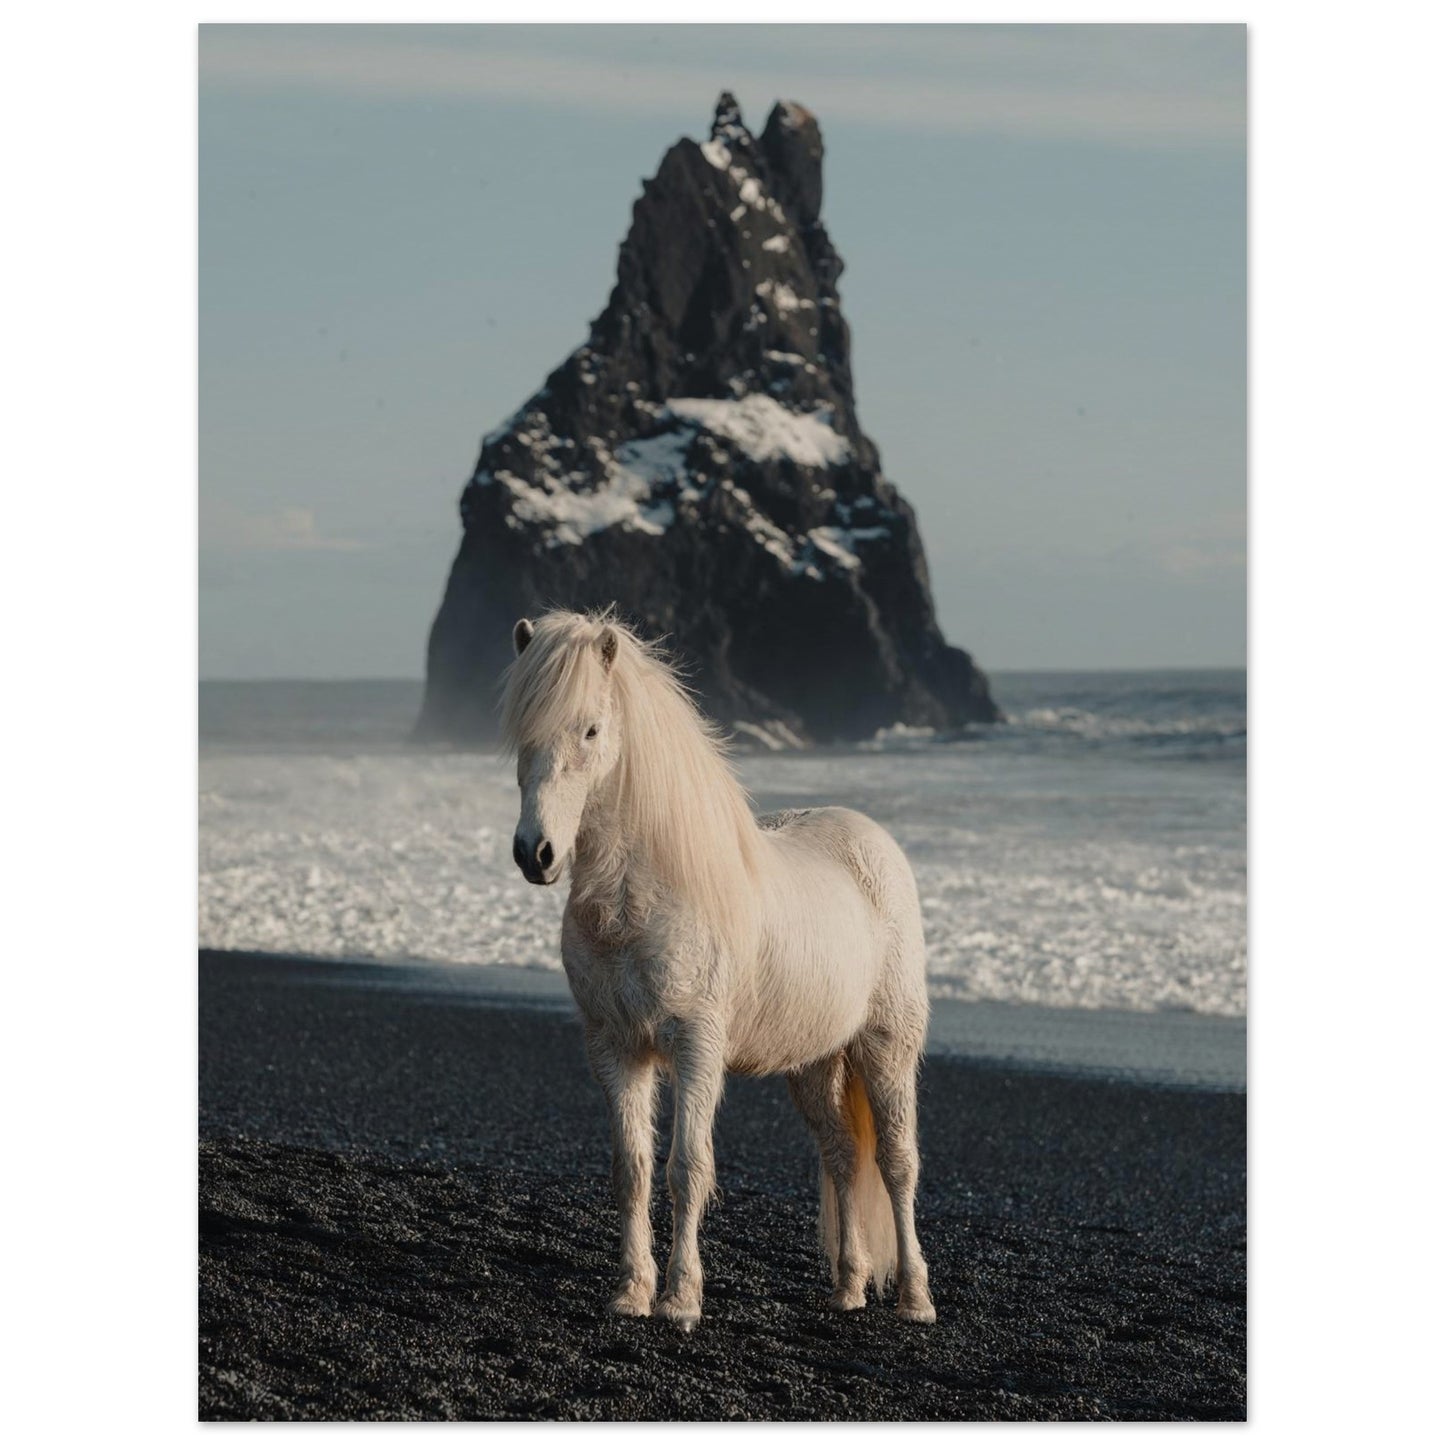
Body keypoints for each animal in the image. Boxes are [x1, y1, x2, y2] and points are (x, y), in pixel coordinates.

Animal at [500, 608, 936, 1331]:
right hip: (814, 1063)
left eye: (590, 729)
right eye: (519, 732)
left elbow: (686, 1167)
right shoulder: (615, 1048)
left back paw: (914, 1299)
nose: (536, 853)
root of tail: (871, 840)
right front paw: (632, 1293)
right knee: (843, 1156)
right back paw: (847, 1288)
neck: (645, 897)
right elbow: (633, 1168)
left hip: (885, 1047)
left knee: (897, 1164)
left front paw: (680, 1300)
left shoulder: (696, 1046)